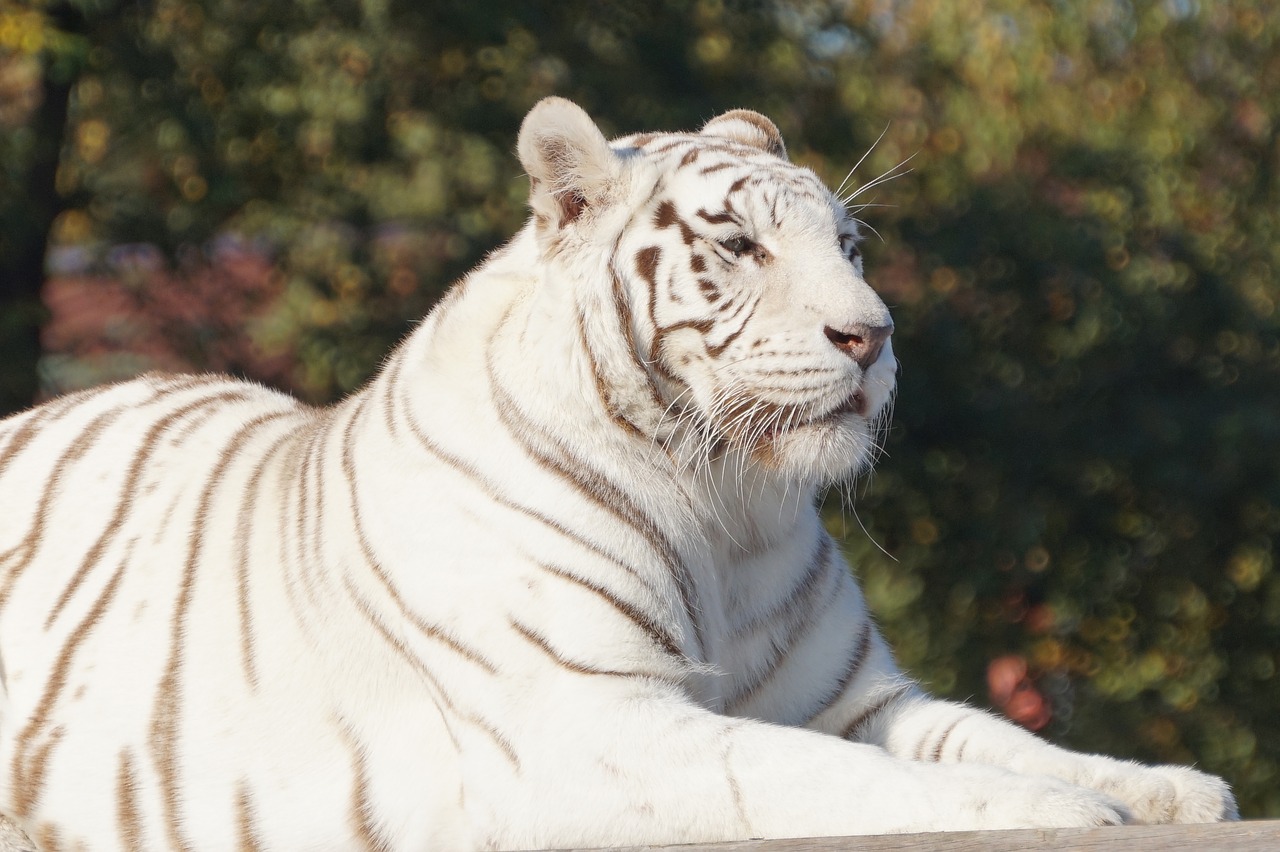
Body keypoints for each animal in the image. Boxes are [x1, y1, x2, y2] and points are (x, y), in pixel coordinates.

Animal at [0, 95, 1239, 844]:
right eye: (740, 247)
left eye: (845, 246)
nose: (872, 336)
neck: (724, 507)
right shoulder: (596, 725)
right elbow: (859, 779)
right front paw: (1055, 806)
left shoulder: (852, 700)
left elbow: (993, 733)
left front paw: (1164, 786)